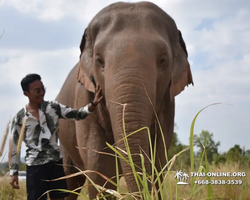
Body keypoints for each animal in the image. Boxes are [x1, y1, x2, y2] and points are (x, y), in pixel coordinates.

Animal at [56, 0, 193, 199]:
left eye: (162, 60)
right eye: (99, 61)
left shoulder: (168, 104)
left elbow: (158, 161)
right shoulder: (83, 96)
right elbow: (101, 170)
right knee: (69, 180)